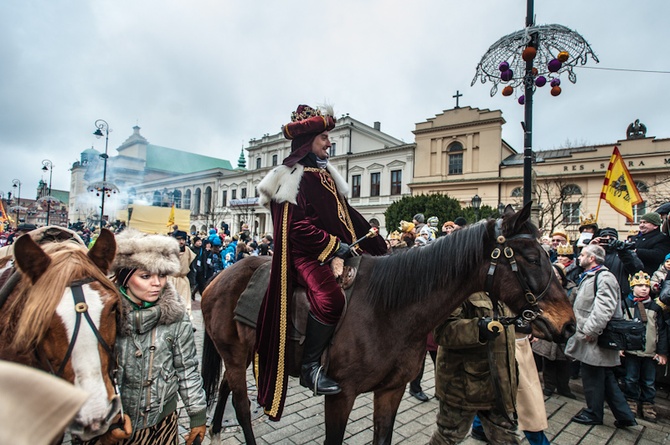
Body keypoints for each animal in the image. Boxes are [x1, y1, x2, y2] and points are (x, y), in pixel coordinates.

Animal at [201, 205, 576, 444]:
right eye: (531, 257)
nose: (569, 324)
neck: (387, 308)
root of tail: (218, 278)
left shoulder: (390, 391)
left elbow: (383, 436)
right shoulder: (341, 395)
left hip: (241, 354)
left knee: (226, 387)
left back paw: (217, 429)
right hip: (235, 355)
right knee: (242, 406)